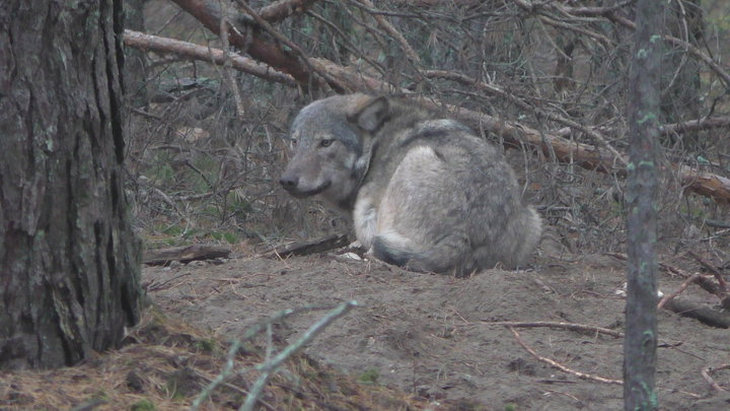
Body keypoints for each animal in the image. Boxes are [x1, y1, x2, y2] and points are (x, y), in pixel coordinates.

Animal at [278, 95, 540, 276]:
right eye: (295, 141)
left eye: (325, 143)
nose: (287, 181)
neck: (375, 146)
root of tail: (465, 233)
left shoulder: (366, 209)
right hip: (534, 217)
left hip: (414, 158)